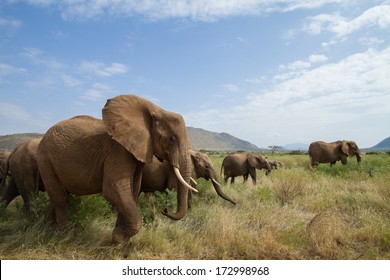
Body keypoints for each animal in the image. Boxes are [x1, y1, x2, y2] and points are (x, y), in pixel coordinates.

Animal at [36, 94, 197, 243]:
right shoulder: (118, 151)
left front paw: (123, 241)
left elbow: (132, 191)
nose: (165, 210)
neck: (157, 110)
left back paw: (46, 229)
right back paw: (65, 235)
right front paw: (118, 238)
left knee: (56, 195)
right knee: (60, 197)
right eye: (172, 139)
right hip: (45, 158)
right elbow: (115, 188)